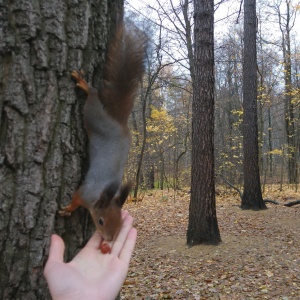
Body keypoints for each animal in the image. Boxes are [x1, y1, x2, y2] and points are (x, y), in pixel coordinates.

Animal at [59, 24, 146, 243]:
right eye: (101, 221)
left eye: (120, 222)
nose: (109, 240)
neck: (102, 195)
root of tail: (117, 122)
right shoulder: (84, 192)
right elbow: (75, 199)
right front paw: (68, 209)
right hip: (93, 117)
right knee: (93, 96)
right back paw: (84, 84)